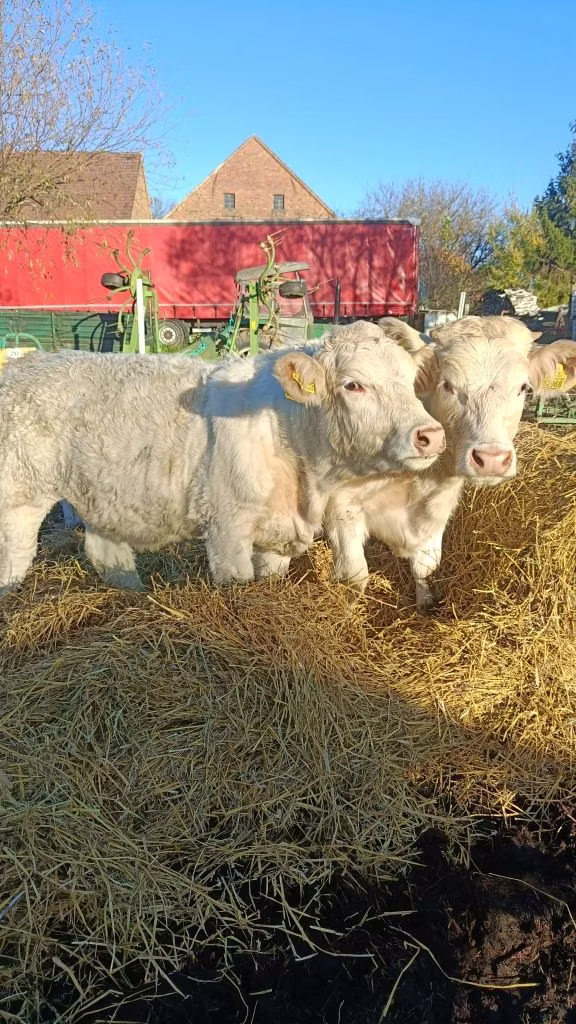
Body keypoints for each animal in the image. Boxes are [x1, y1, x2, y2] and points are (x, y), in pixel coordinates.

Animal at [0, 322, 445, 595]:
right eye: (354, 385)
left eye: (410, 382)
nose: (430, 434)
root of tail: (26, 364)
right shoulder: (226, 528)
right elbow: (237, 581)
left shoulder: (278, 535)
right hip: (19, 500)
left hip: (104, 496)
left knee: (106, 554)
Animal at [326, 317, 576, 609]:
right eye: (447, 385)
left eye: (523, 388)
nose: (491, 459)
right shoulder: (342, 506)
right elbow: (355, 575)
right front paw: (347, 610)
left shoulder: (438, 507)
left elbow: (425, 567)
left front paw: (425, 604)